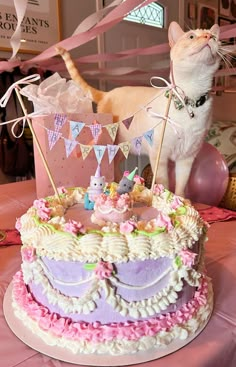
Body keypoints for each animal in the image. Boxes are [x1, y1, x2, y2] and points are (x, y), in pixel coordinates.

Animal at [56, 20, 222, 198]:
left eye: (214, 37)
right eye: (191, 36)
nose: (208, 37)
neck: (190, 98)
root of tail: (106, 94)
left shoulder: (187, 157)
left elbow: (181, 186)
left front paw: (182, 200)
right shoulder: (159, 155)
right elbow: (164, 183)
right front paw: (165, 198)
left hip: (122, 149)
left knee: (116, 167)